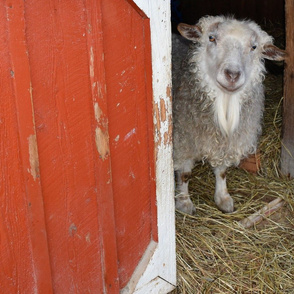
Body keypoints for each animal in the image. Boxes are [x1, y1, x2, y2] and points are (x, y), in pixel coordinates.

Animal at [172, 15, 284, 214]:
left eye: (254, 47)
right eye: (211, 38)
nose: (232, 74)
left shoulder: (227, 143)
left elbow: (222, 171)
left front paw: (223, 198)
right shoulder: (183, 141)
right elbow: (185, 174)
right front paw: (184, 202)